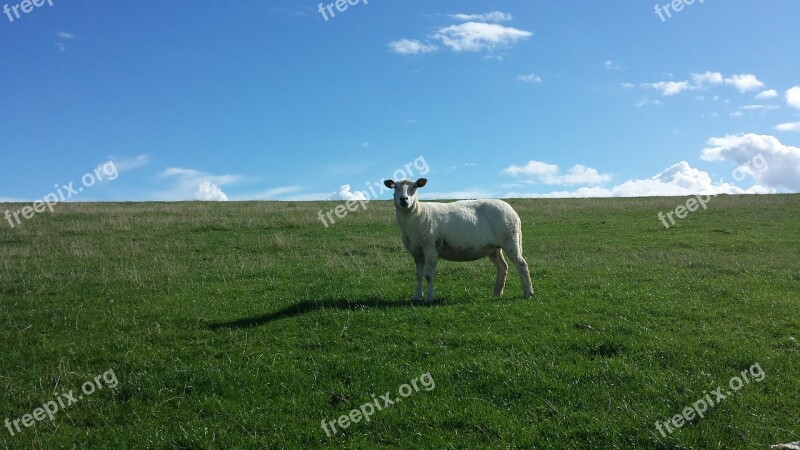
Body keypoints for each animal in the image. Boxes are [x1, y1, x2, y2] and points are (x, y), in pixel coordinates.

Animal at [384, 178, 536, 302]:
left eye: (415, 186)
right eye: (395, 187)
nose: (404, 199)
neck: (418, 213)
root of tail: (511, 209)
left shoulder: (430, 248)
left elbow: (428, 275)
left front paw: (429, 298)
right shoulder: (416, 251)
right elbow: (418, 275)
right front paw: (416, 297)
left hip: (511, 240)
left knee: (522, 265)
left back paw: (528, 293)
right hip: (494, 248)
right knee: (503, 267)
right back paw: (497, 292)